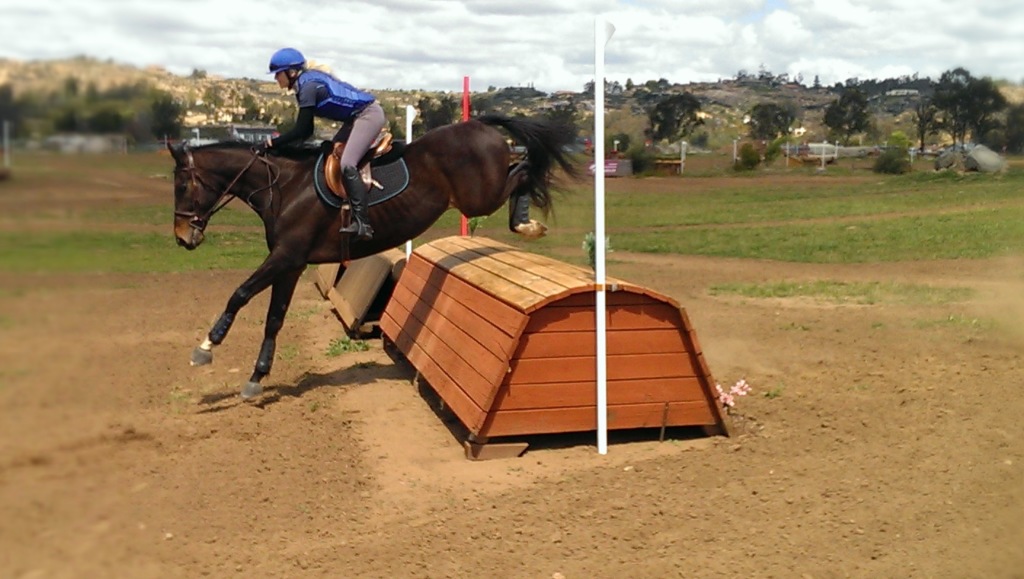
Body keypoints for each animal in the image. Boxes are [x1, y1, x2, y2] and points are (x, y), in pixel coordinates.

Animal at [172, 115, 581, 399]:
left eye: (181, 185)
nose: (182, 238)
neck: (284, 188)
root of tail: (479, 124)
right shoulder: (291, 263)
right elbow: (274, 319)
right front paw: (256, 377)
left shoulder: (286, 257)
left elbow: (239, 294)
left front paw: (206, 347)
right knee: (523, 168)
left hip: (479, 197)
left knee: (524, 170)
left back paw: (527, 224)